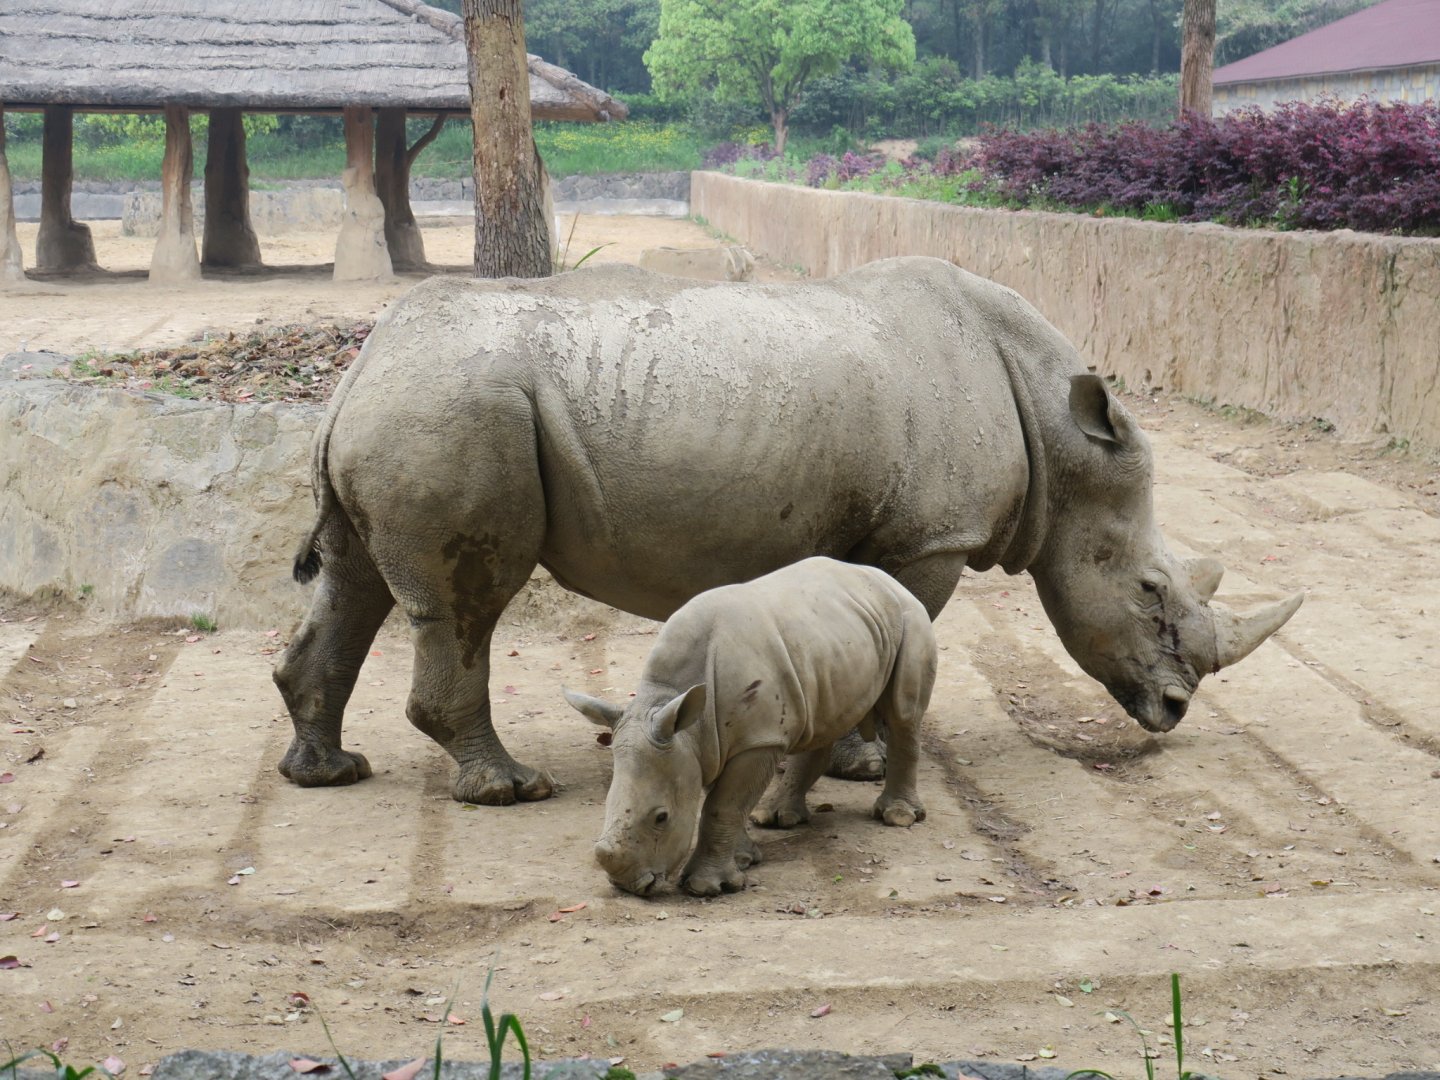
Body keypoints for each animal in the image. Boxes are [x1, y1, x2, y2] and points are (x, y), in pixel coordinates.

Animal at [273, 256, 1302, 806]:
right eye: (1151, 592)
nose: (1173, 711)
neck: (1057, 432)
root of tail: (358, 370)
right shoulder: (928, 540)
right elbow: (904, 634)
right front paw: (868, 766)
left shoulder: (879, 535)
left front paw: (844, 758)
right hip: (454, 411)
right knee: (464, 607)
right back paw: (509, 789)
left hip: (413, 408)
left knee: (356, 583)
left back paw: (328, 774)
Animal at [564, 556, 936, 896]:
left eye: (661, 817)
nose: (627, 886)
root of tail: (885, 578)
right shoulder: (712, 742)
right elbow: (727, 802)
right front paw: (743, 860)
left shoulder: (758, 740)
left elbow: (723, 805)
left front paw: (706, 887)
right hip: (834, 637)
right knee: (820, 722)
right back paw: (777, 817)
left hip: (910, 617)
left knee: (903, 715)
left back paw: (898, 817)